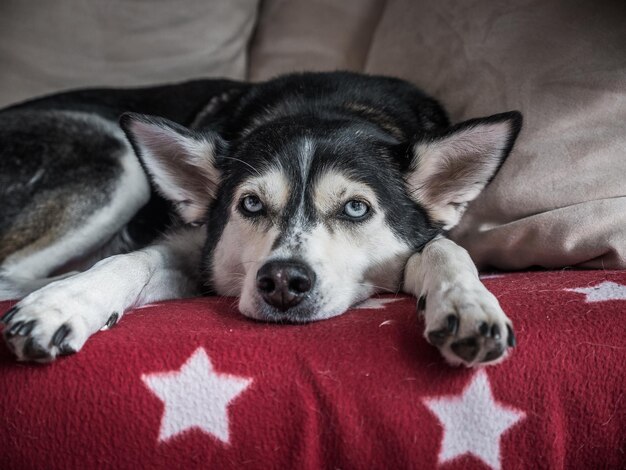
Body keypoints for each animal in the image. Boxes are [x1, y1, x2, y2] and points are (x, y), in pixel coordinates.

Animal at [0, 72, 516, 368]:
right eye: (250, 204)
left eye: (356, 208)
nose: (283, 281)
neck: (322, 106)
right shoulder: (200, 250)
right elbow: (132, 260)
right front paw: (63, 303)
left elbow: (444, 247)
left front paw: (466, 304)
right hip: (116, 157)